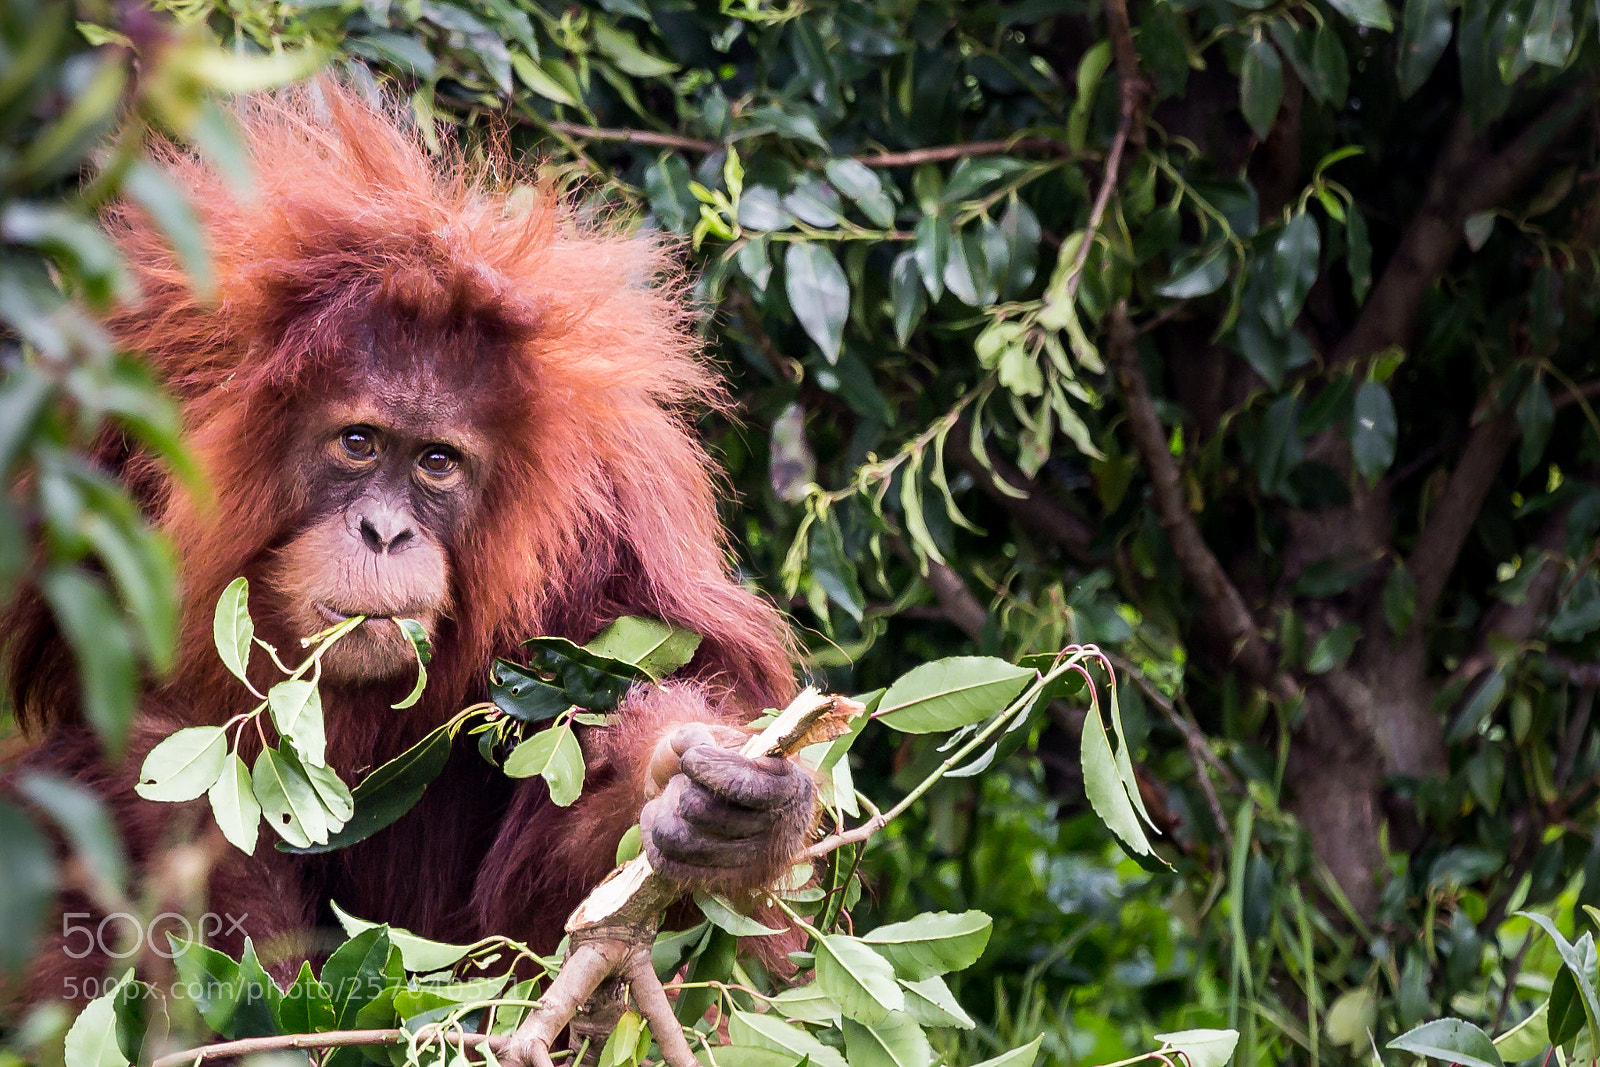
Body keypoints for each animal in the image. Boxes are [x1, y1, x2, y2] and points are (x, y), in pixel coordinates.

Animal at [1, 82, 814, 1000]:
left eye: (437, 461)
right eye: (358, 443)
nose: (384, 531)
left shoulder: (619, 508)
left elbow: (549, 887)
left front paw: (713, 808)